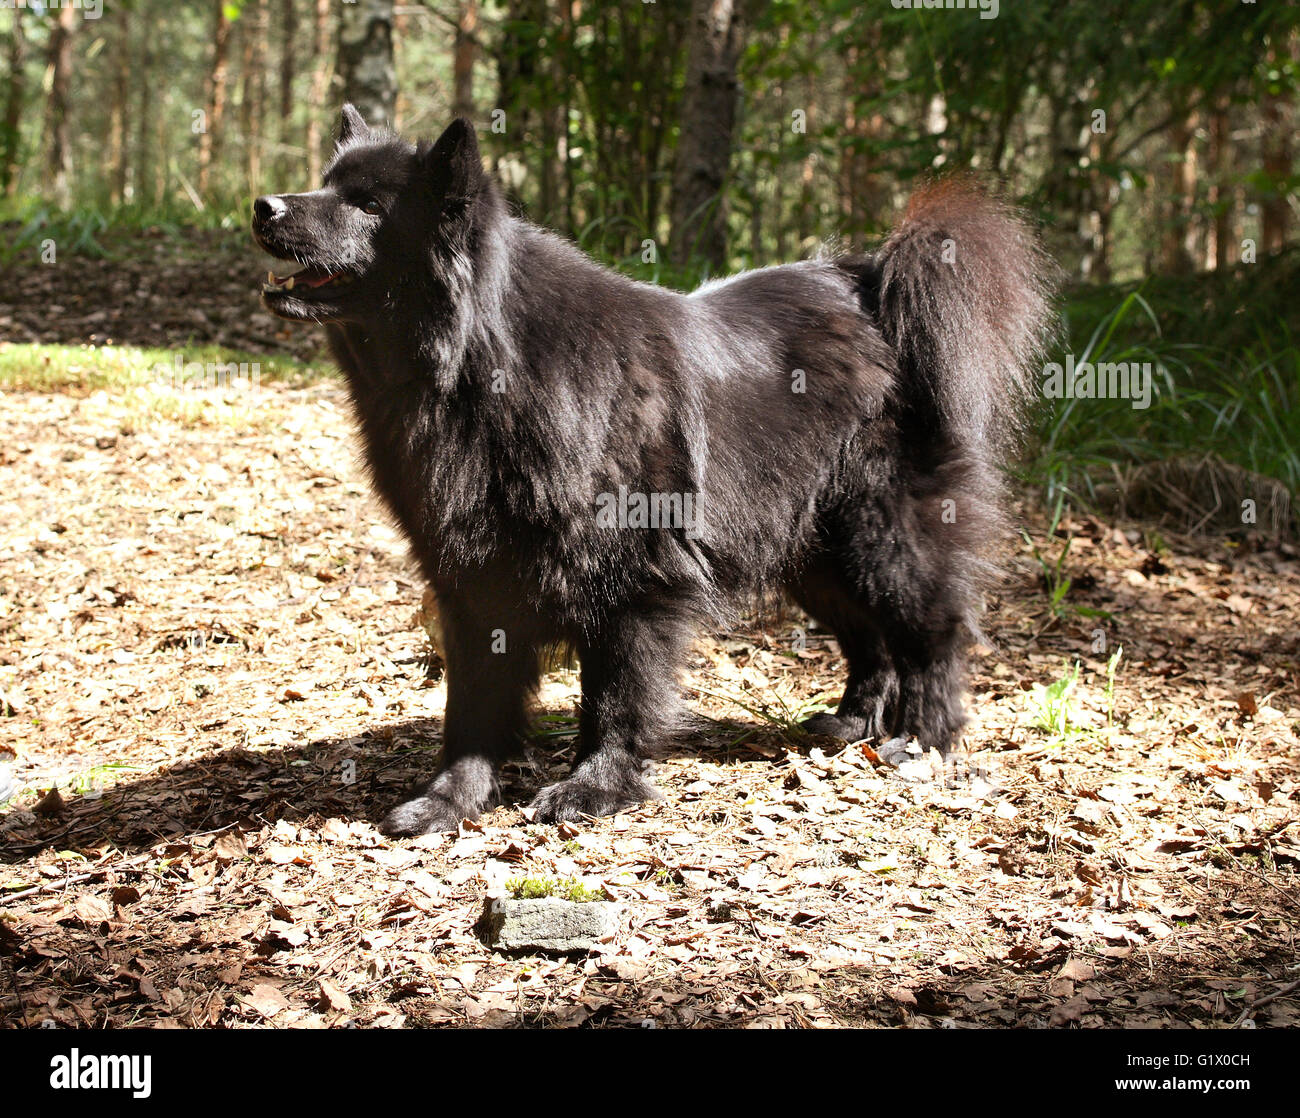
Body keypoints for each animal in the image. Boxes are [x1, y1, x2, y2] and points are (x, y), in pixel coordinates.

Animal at [253, 107, 1055, 837]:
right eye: (328, 184)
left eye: (369, 206)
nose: (264, 206)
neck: (478, 367)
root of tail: (872, 283)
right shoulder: (474, 583)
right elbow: (472, 710)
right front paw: (447, 802)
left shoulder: (633, 581)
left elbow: (615, 699)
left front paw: (596, 790)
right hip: (812, 552)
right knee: (870, 638)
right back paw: (850, 723)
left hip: (883, 537)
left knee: (933, 634)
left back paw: (921, 740)